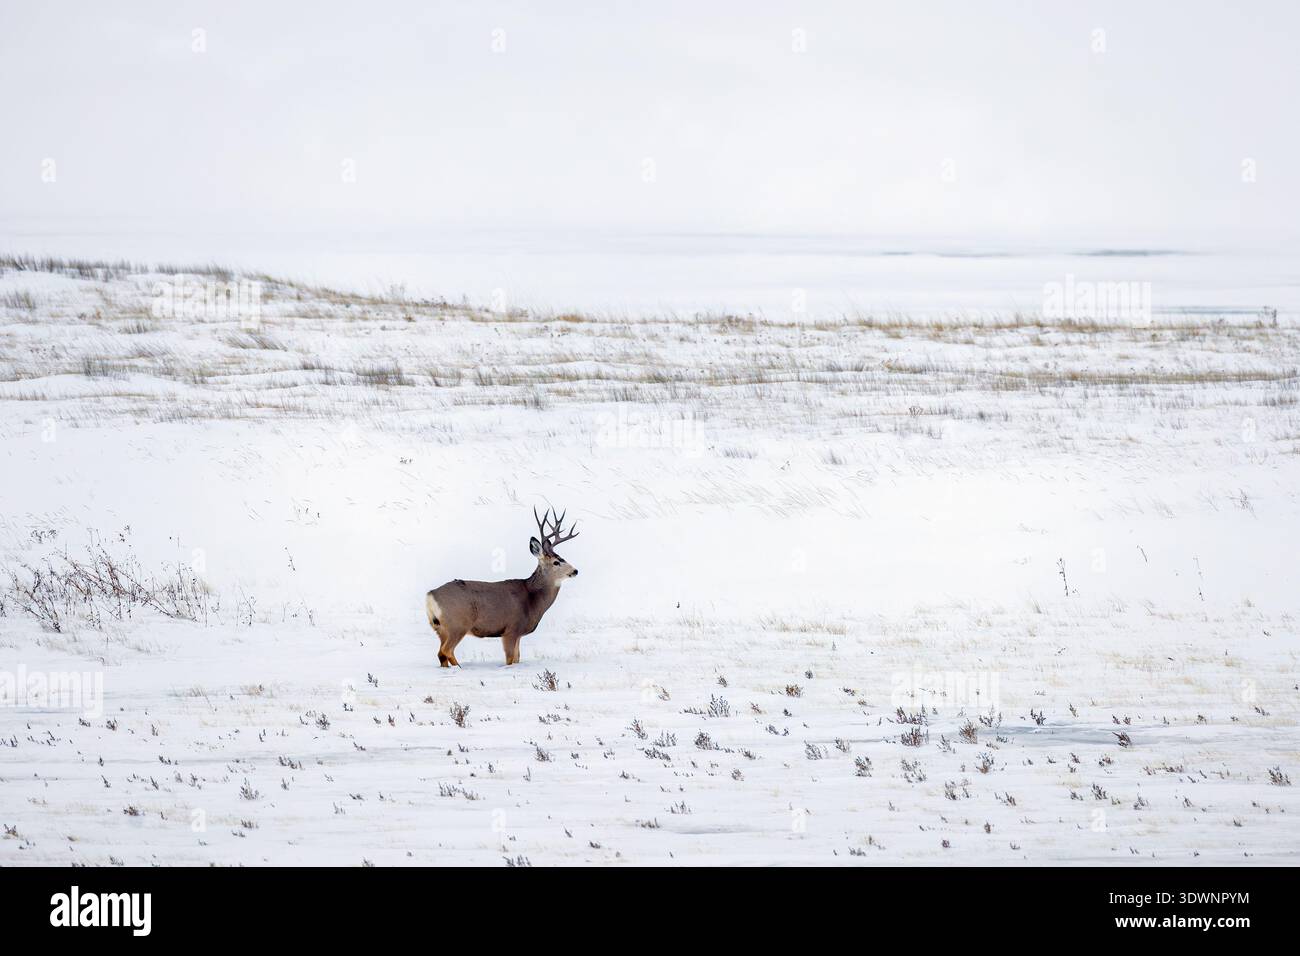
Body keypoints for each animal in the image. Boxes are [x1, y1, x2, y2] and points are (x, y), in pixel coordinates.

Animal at [425, 507, 580, 667]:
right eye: (556, 562)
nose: (575, 571)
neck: (532, 599)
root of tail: (430, 595)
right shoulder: (511, 629)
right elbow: (510, 659)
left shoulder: (518, 634)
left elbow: (517, 658)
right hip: (458, 624)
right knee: (446, 650)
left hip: (440, 628)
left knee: (441, 654)